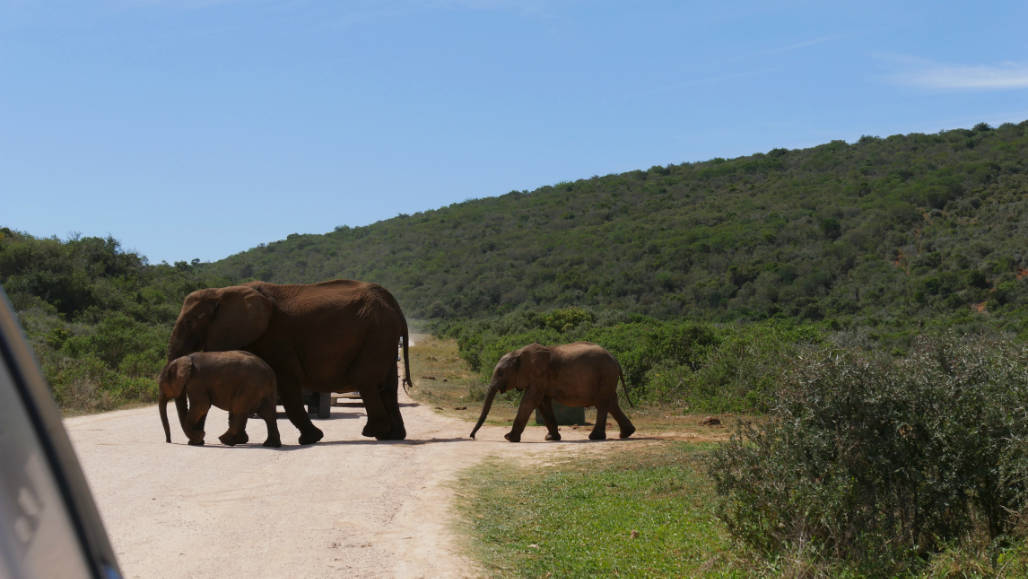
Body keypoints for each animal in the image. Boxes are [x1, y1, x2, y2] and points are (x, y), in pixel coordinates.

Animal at [166, 279, 411, 444]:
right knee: (388, 386)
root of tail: (396, 306)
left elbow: (287, 383)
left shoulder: (277, 337)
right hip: (382, 336)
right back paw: (394, 435)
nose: (198, 439)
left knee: (366, 381)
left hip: (376, 333)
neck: (222, 292)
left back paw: (374, 433)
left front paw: (310, 439)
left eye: (190, 322)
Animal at [468, 343, 629, 444]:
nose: (472, 436)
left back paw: (595, 437)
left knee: (602, 403)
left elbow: (530, 401)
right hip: (607, 377)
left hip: (605, 375)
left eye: (501, 373)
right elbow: (542, 403)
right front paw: (551, 438)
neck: (519, 353)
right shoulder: (540, 380)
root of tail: (615, 358)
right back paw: (626, 434)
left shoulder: (539, 376)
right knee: (611, 402)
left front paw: (509, 438)